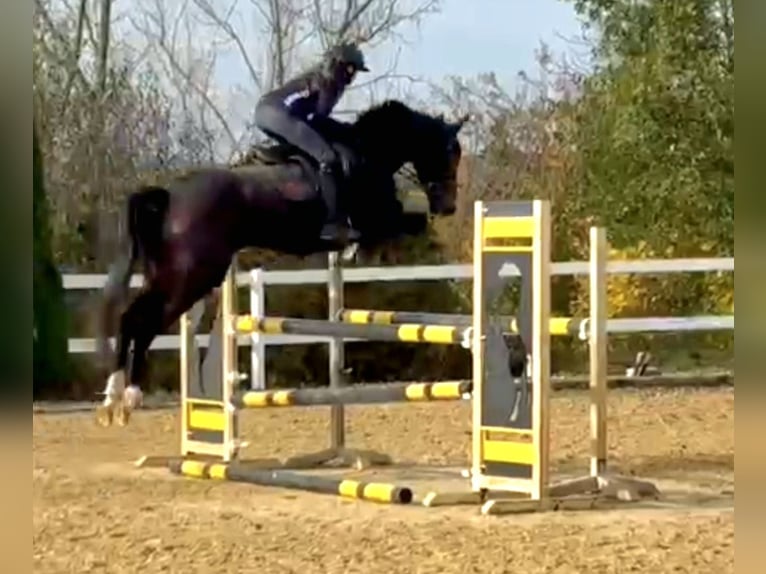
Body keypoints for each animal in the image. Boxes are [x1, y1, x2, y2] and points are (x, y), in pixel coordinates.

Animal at [96, 99, 468, 425]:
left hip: (167, 275)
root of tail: (170, 195)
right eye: (451, 152)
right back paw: (129, 395)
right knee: (144, 322)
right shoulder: (382, 219)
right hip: (193, 276)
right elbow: (411, 224)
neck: (369, 153)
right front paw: (361, 250)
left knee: (131, 318)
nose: (449, 206)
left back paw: (113, 399)